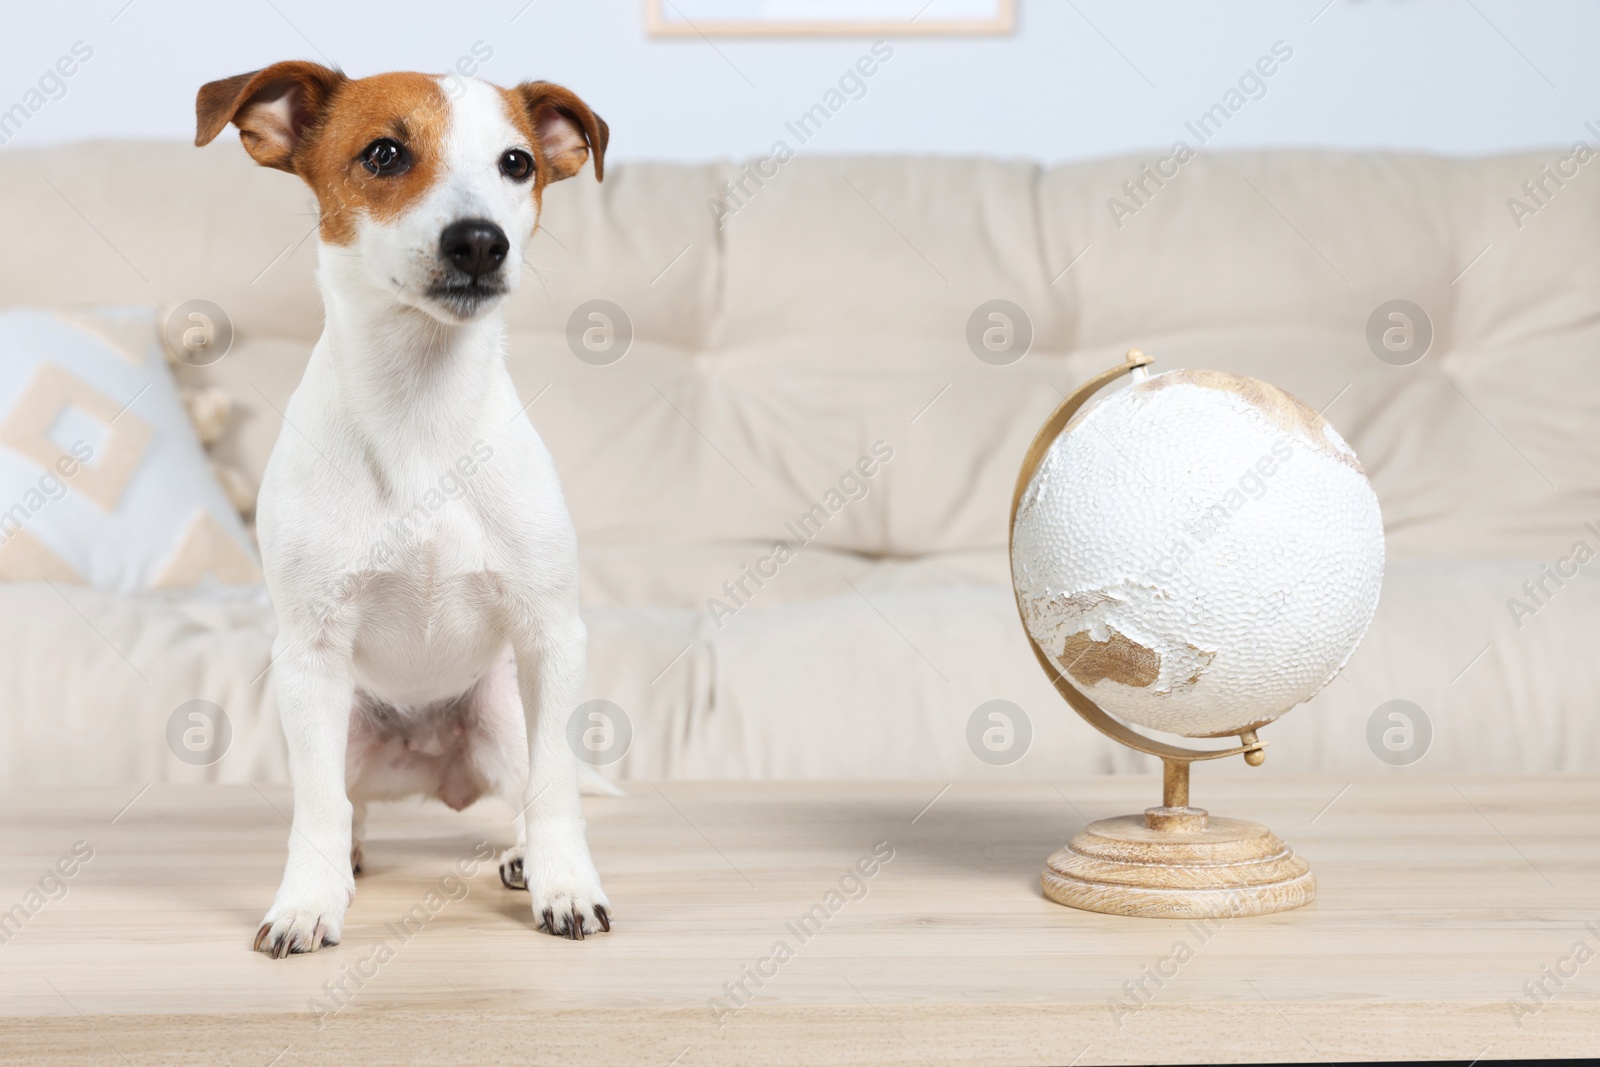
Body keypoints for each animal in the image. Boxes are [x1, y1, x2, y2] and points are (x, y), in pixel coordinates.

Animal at [188, 62, 611, 953]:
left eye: (517, 163)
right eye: (384, 153)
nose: (480, 240)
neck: (422, 405)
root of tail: (430, 764)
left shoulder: (551, 635)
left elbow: (556, 790)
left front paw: (564, 883)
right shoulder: (310, 651)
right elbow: (316, 807)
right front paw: (307, 902)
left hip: (506, 715)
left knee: (527, 785)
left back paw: (522, 854)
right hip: (338, 719)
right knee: (341, 803)